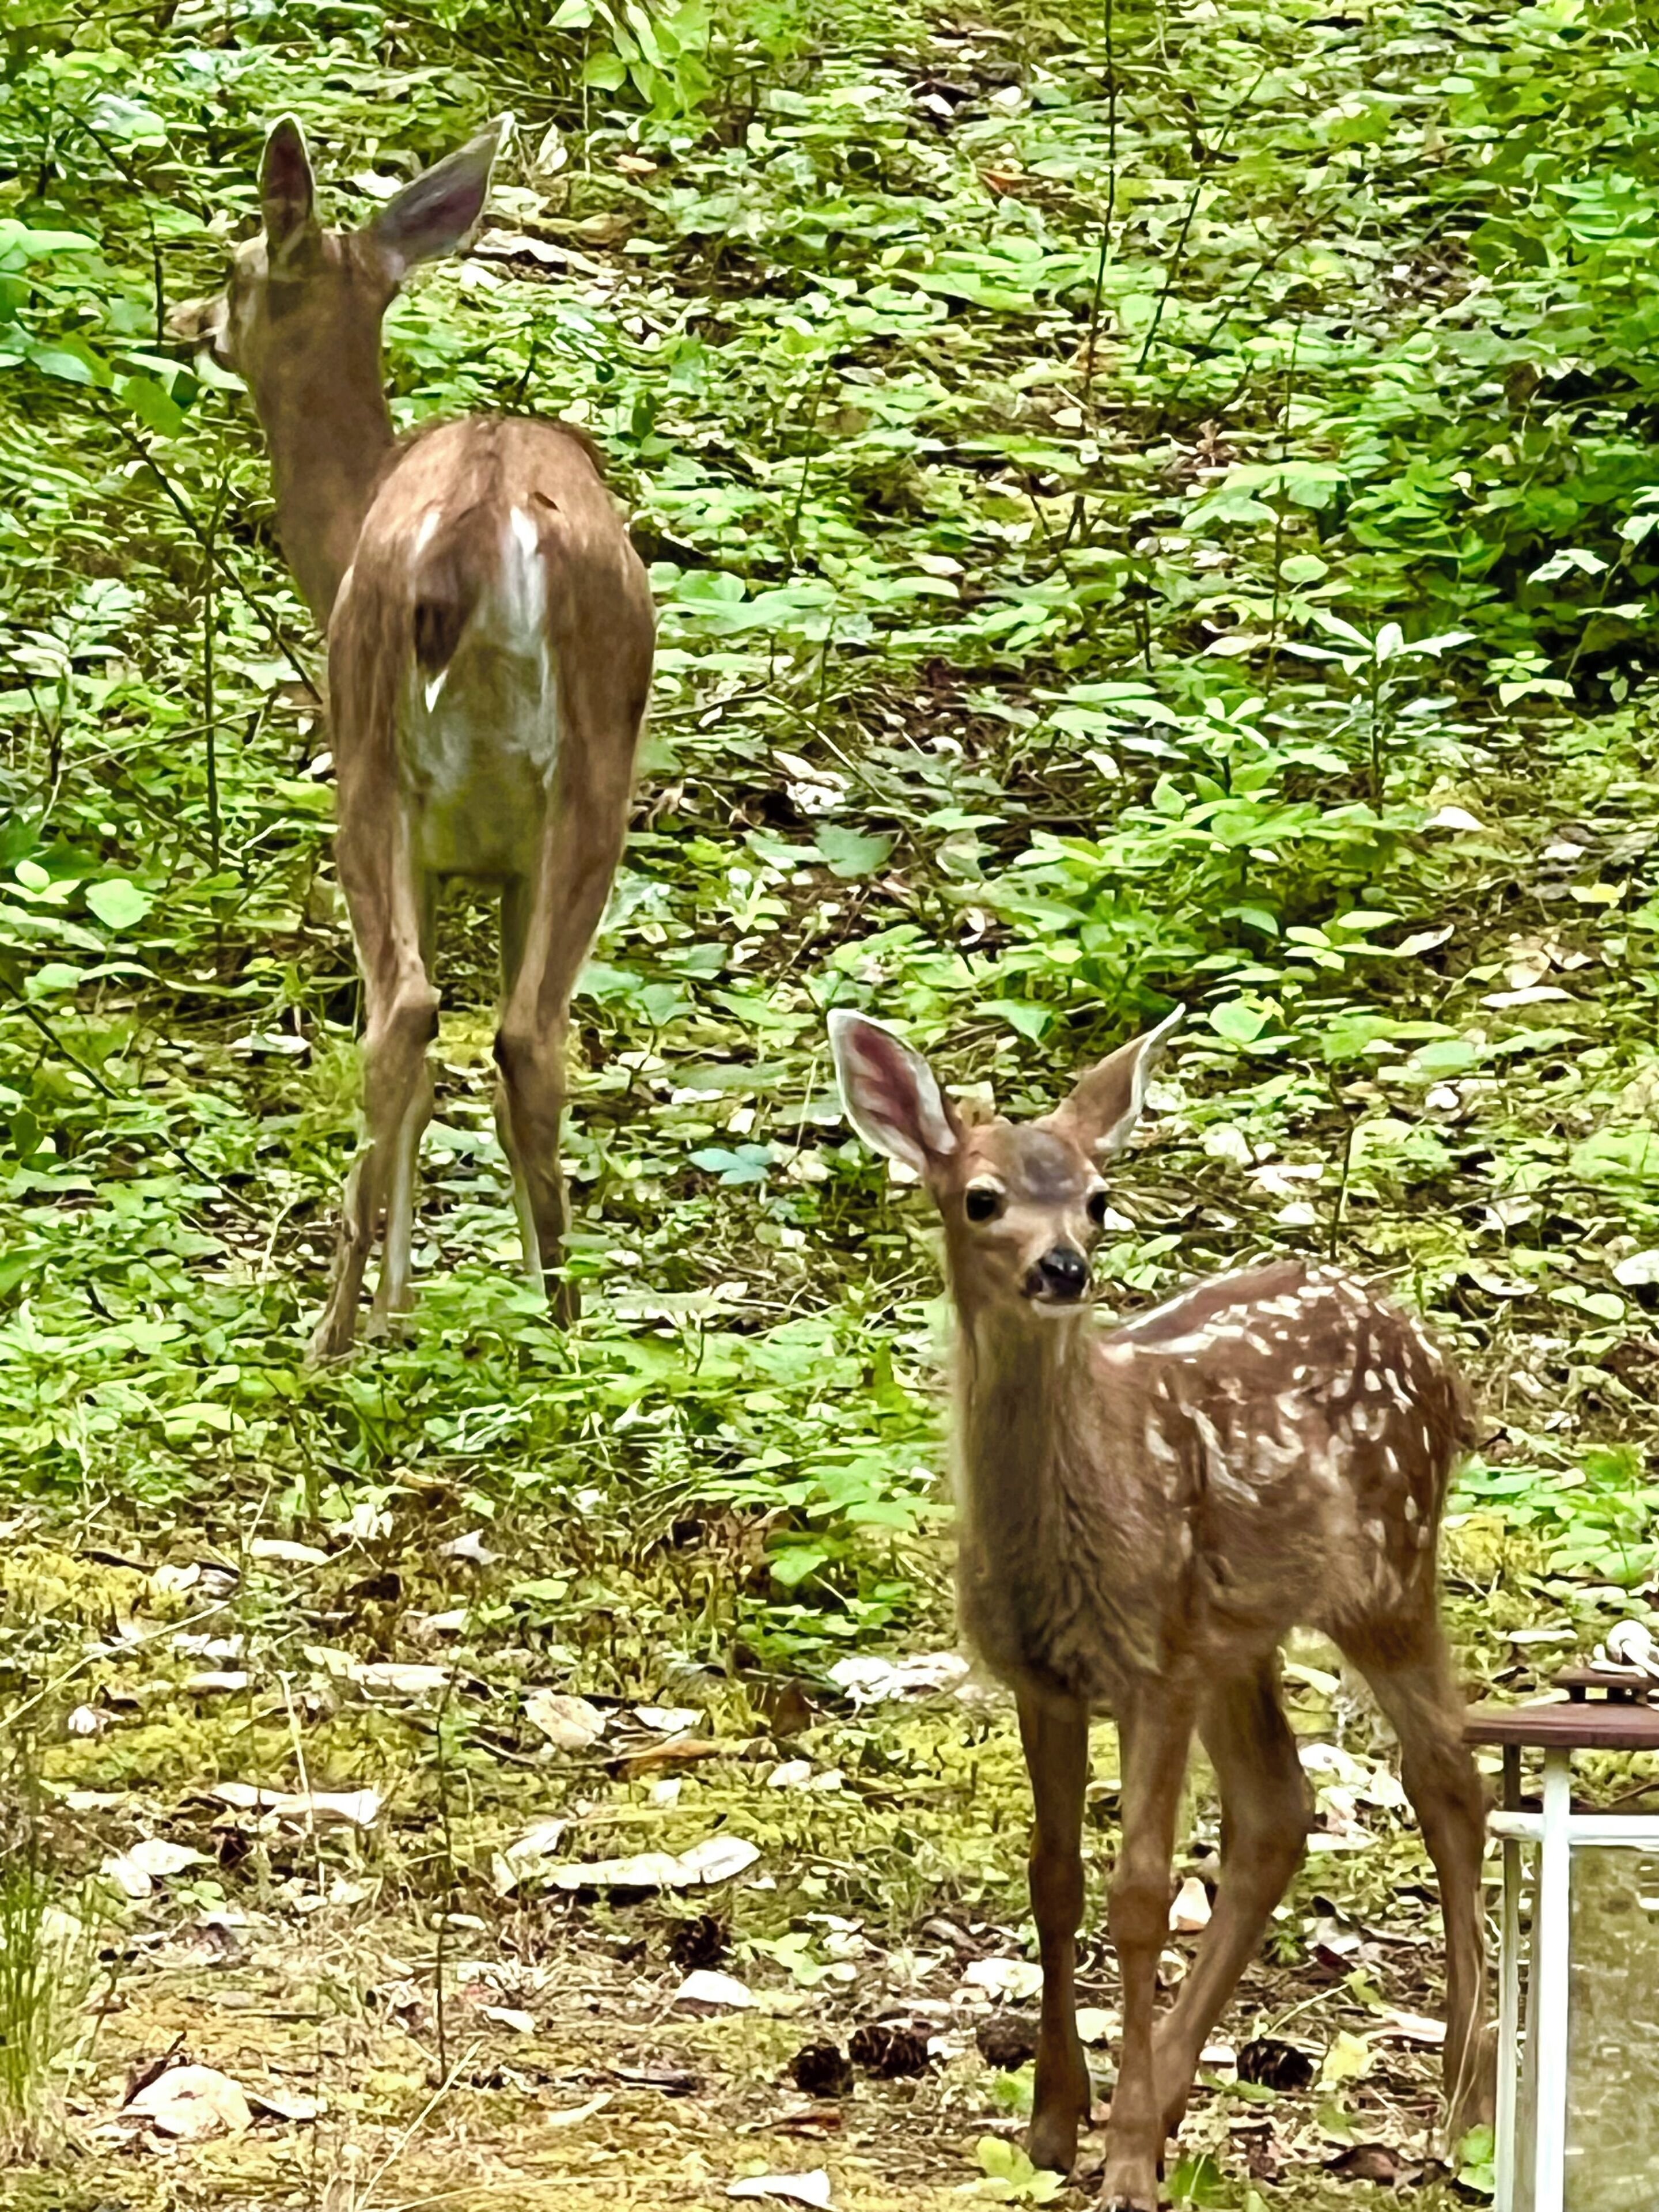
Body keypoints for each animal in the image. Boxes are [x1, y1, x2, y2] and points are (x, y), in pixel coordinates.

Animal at [212, 116, 655, 1356]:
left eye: (234, 267)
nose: (188, 320)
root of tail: (476, 522)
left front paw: (395, 1302)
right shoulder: (495, 861)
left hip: (375, 758)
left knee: (406, 1017)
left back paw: (335, 1333)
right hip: (578, 788)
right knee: (521, 1036)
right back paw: (559, 1327)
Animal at [828, 1007, 1491, 2211]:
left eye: (1099, 1196)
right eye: (981, 1196)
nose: (1063, 1268)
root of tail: (1440, 1363)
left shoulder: (1154, 1662)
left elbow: (1138, 1896)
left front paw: (1128, 2161)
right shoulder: (1044, 1678)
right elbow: (1052, 1881)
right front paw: (1056, 2126)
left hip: (1387, 1571)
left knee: (1450, 1781)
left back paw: (1462, 2111)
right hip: (1242, 1634)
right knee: (1281, 1811)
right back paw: (1182, 2089)